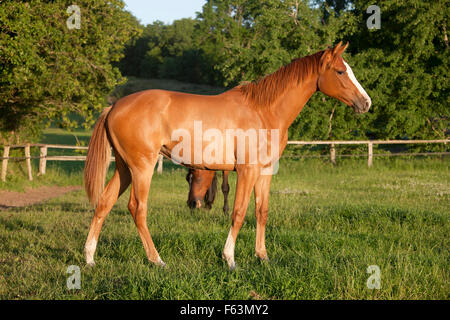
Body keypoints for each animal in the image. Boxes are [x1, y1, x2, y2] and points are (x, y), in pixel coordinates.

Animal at [84, 41, 372, 268]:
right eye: (340, 71)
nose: (366, 103)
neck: (263, 110)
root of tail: (114, 107)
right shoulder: (247, 171)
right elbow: (239, 212)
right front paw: (230, 258)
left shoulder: (265, 172)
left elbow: (261, 212)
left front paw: (262, 256)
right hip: (142, 168)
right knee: (138, 209)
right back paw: (157, 260)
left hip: (124, 168)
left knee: (104, 203)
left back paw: (89, 258)